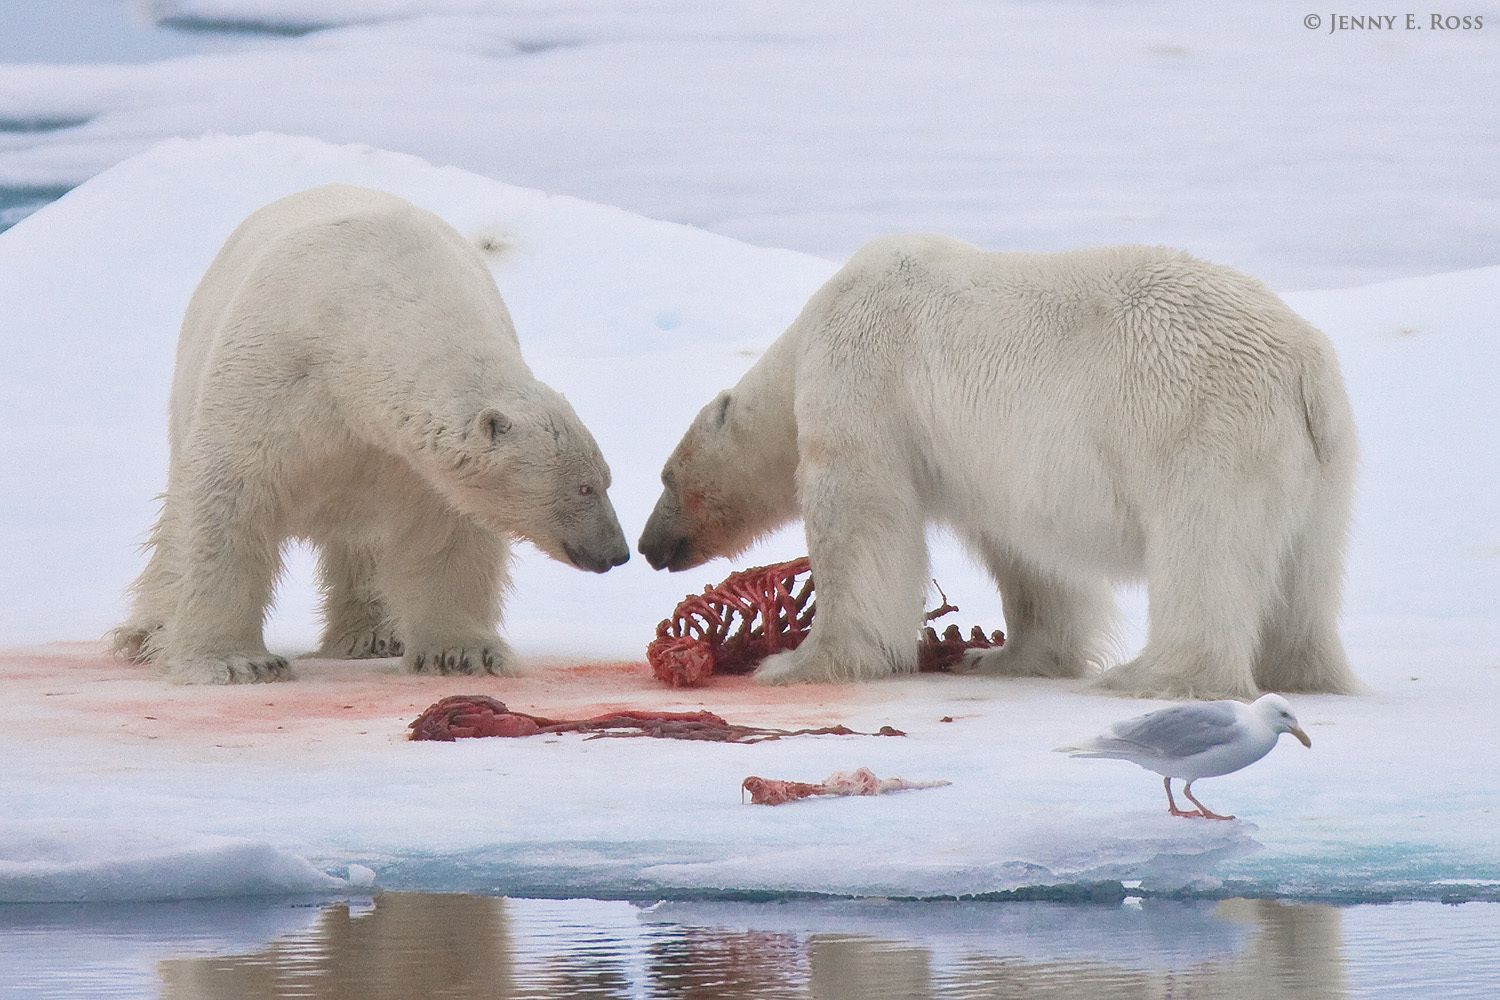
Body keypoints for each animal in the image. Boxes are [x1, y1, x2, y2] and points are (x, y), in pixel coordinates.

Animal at [115, 185, 627, 689]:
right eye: (585, 487)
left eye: (605, 481)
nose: (617, 551)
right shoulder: (276, 378)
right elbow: (234, 499)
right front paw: (237, 663)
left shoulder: (406, 455)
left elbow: (444, 532)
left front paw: (461, 654)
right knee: (179, 516)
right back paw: (145, 634)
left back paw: (374, 636)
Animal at [639, 238, 1368, 701]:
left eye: (666, 480)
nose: (648, 545)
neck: (810, 334)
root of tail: (1305, 367)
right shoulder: (999, 469)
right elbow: (1031, 557)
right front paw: (996, 656)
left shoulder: (864, 383)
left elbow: (862, 518)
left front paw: (800, 662)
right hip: (1322, 466)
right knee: (1304, 575)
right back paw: (1302, 672)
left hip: (1201, 425)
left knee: (1203, 551)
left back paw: (1149, 676)